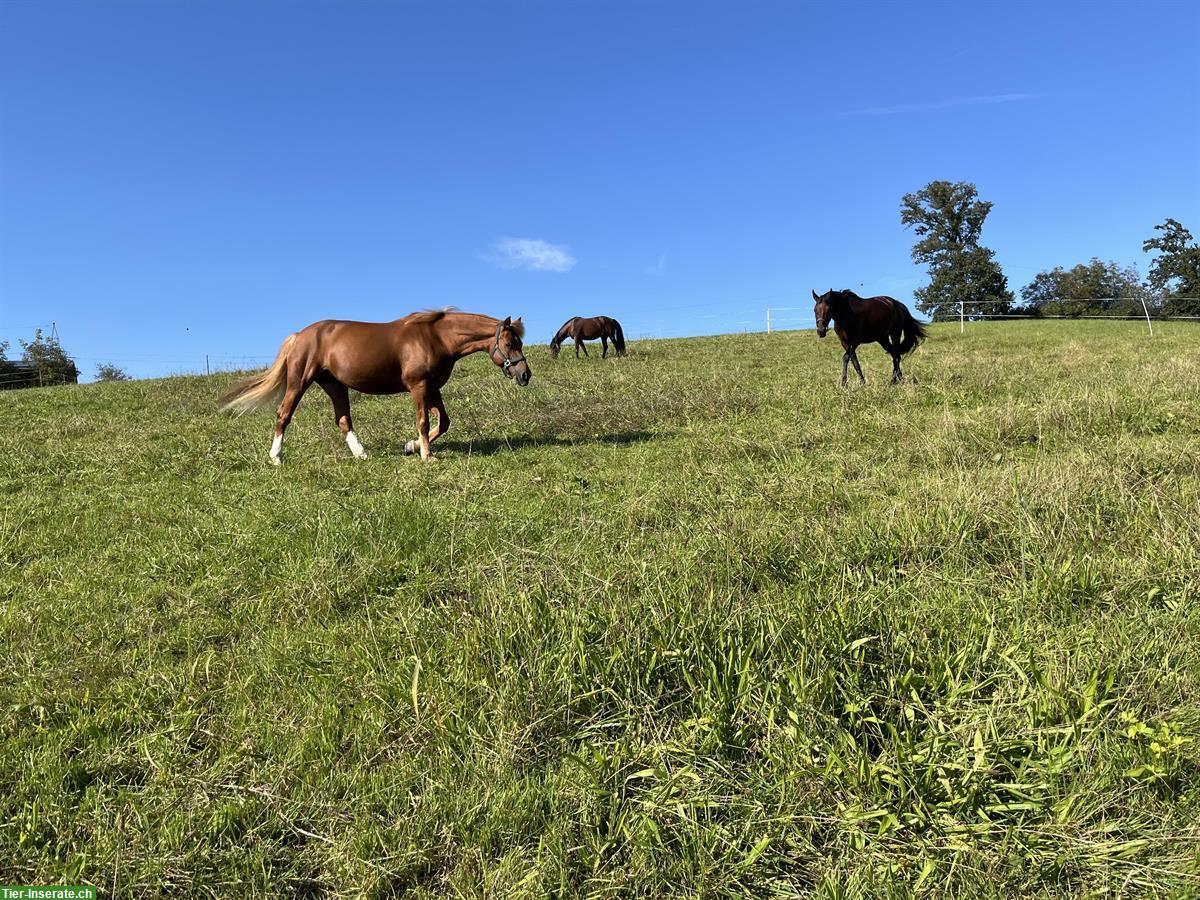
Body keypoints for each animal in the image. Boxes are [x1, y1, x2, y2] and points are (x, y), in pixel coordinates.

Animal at [217, 309, 535, 465]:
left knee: (343, 420)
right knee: (283, 416)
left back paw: (361, 454)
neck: (435, 337)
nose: (525, 375)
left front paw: (411, 446)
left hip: (335, 386)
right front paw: (427, 455)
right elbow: (424, 421)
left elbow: (443, 422)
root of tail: (299, 335)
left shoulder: (432, 387)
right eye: (510, 343)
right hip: (299, 382)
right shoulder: (419, 387)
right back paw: (276, 458)